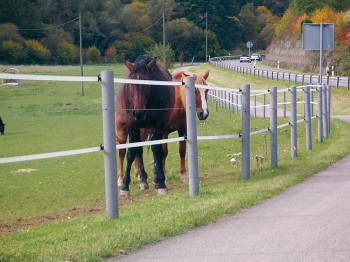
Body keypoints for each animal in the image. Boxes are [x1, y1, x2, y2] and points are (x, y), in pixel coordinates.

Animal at [115, 54, 174, 195]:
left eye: (148, 84)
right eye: (131, 84)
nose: (139, 113)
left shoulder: (158, 125)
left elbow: (157, 150)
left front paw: (161, 183)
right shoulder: (132, 125)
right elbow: (131, 152)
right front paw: (125, 187)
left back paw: (152, 178)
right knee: (129, 151)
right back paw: (133, 180)